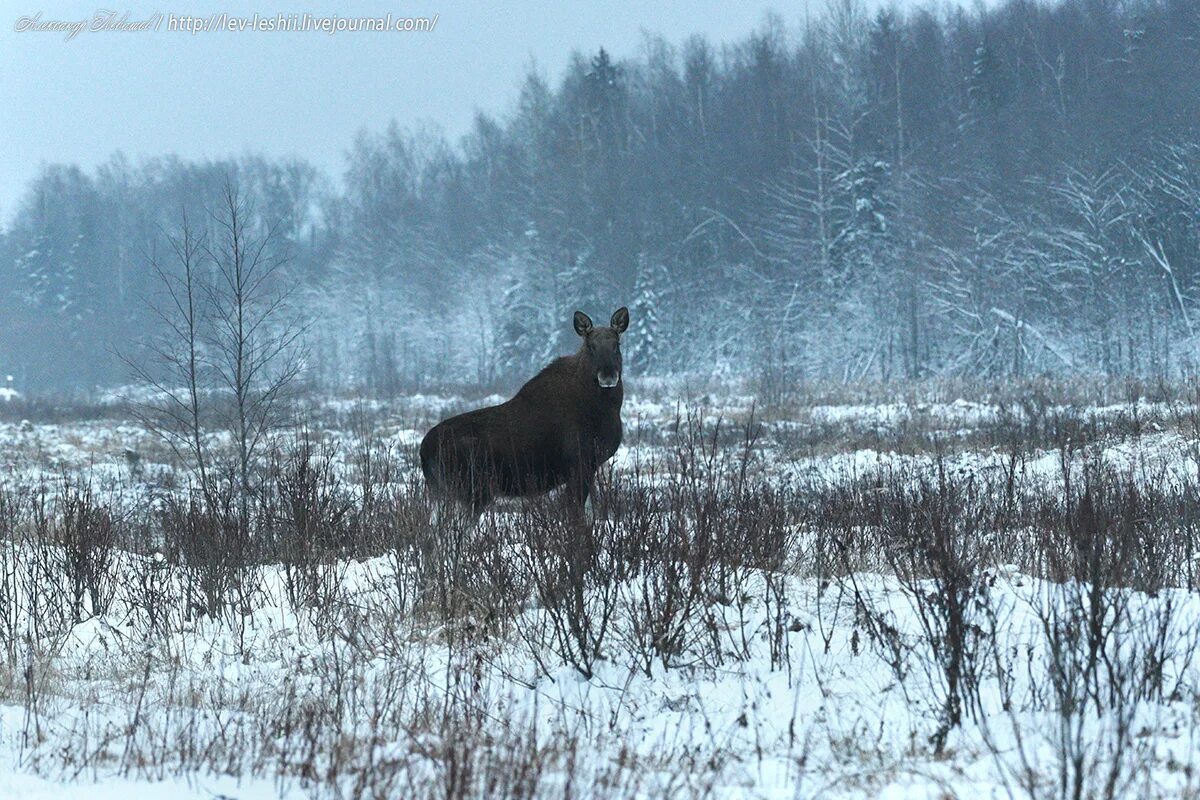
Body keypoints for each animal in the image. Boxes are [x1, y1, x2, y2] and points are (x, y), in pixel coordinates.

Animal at [420, 307, 633, 525]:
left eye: (616, 345)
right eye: (591, 347)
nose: (608, 375)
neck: (605, 410)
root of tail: (423, 450)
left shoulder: (588, 466)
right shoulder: (580, 463)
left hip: (447, 492)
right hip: (472, 488)